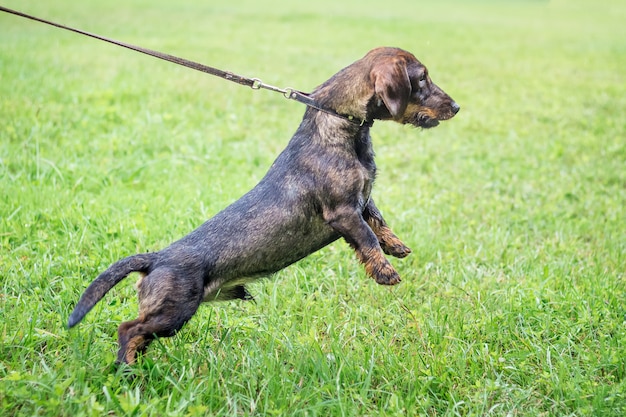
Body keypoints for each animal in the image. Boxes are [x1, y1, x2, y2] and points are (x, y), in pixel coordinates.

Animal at [68, 47, 458, 362]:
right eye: (421, 78)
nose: (456, 106)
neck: (337, 125)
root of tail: (155, 259)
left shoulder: (364, 199)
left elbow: (379, 221)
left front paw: (397, 247)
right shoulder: (343, 211)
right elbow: (367, 238)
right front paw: (385, 271)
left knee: (138, 335)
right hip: (173, 312)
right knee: (128, 330)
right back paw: (126, 369)